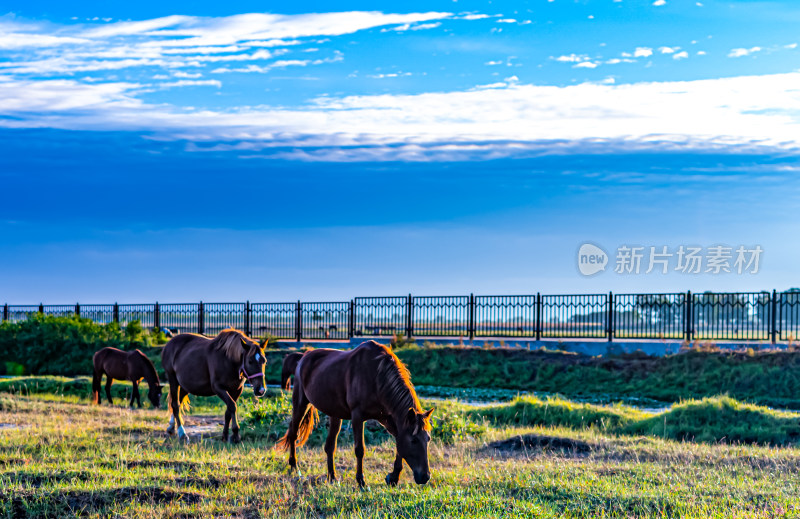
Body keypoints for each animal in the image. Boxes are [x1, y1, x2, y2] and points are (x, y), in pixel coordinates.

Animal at [278, 342, 434, 488]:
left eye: (428, 439)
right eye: (414, 440)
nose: (425, 477)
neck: (377, 377)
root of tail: (303, 357)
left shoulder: (389, 419)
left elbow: (399, 446)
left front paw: (393, 477)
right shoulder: (357, 417)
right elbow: (360, 450)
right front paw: (361, 481)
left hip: (335, 413)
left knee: (329, 446)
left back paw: (332, 477)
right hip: (301, 403)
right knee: (293, 433)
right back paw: (294, 466)